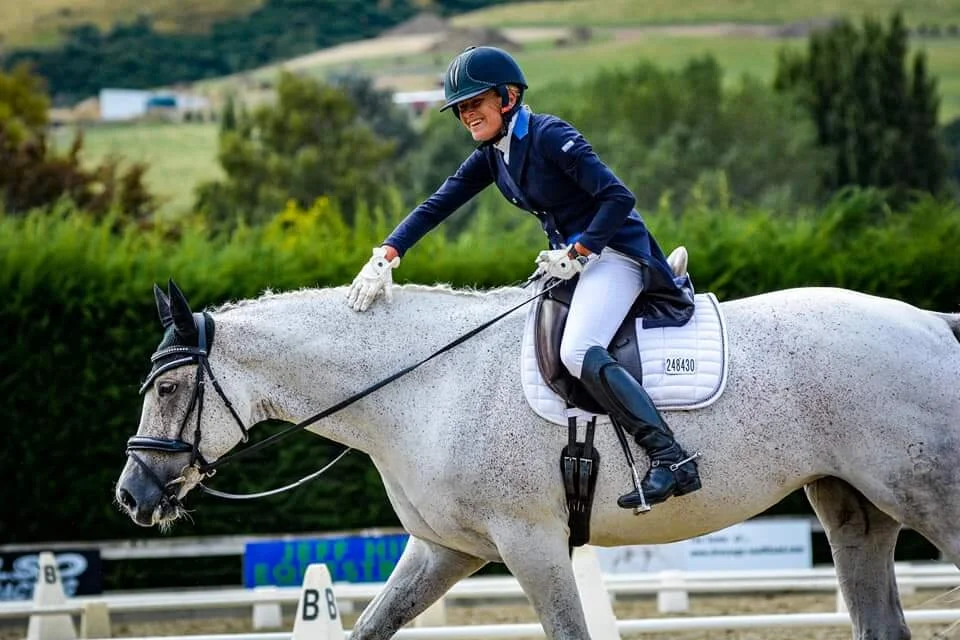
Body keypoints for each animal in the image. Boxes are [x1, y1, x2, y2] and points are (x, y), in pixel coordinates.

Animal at [115, 278, 960, 640]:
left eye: (172, 388)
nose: (131, 495)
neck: (425, 383)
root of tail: (931, 321)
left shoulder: (532, 542)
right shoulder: (444, 549)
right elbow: (372, 628)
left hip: (929, 501)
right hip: (854, 511)